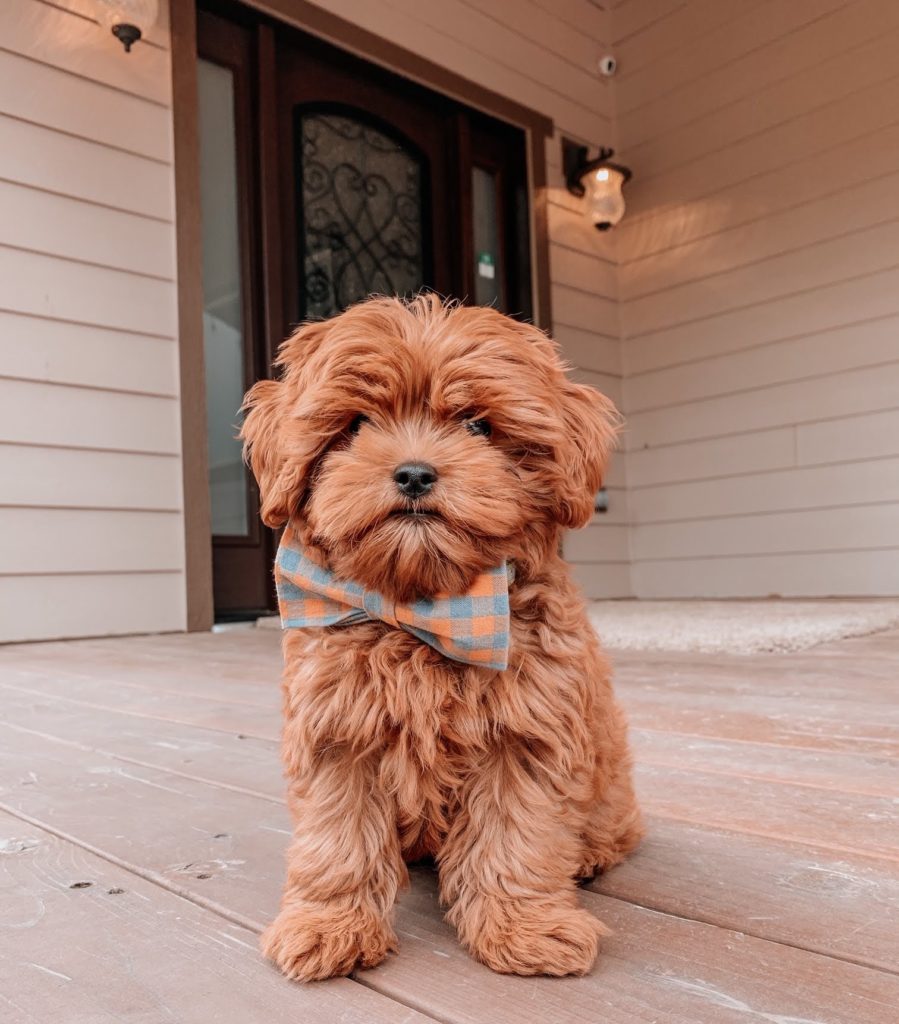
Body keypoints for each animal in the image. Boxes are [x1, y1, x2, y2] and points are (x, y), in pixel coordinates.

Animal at [242, 296, 643, 983]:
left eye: (478, 426)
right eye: (355, 425)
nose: (413, 474)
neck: (428, 608)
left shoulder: (527, 731)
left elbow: (517, 834)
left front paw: (525, 928)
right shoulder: (335, 728)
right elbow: (337, 838)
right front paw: (327, 925)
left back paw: (590, 853)